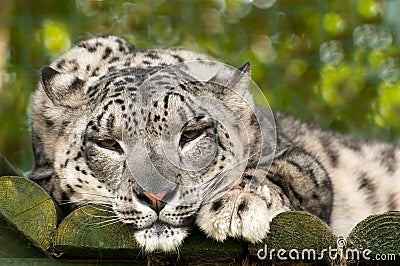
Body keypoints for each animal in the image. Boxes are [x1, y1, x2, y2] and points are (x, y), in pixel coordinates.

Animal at [29, 34, 400, 252]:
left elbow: (286, 171)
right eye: (108, 143)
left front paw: (236, 205)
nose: (155, 197)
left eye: (191, 134)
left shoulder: (298, 159)